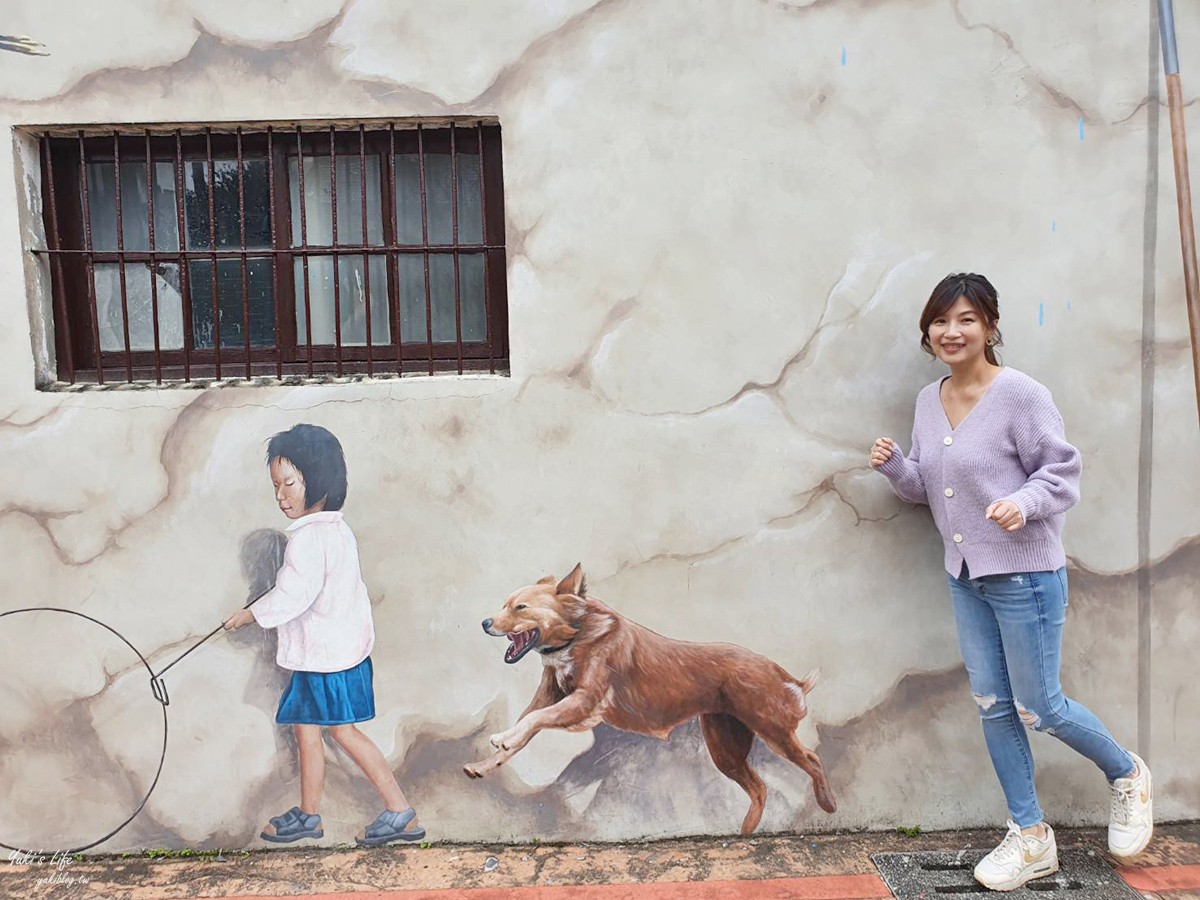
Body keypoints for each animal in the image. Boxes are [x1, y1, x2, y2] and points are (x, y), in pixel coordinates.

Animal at [463, 566, 840, 835]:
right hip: (725, 749)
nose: (483, 622)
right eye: (504, 604)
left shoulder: (584, 701)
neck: (578, 633)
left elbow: (529, 722)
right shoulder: (549, 694)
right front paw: (485, 763)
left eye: (520, 607)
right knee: (760, 787)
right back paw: (744, 832)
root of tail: (784, 675)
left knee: (811, 759)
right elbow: (524, 728)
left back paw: (828, 804)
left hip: (772, 731)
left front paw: (502, 738)